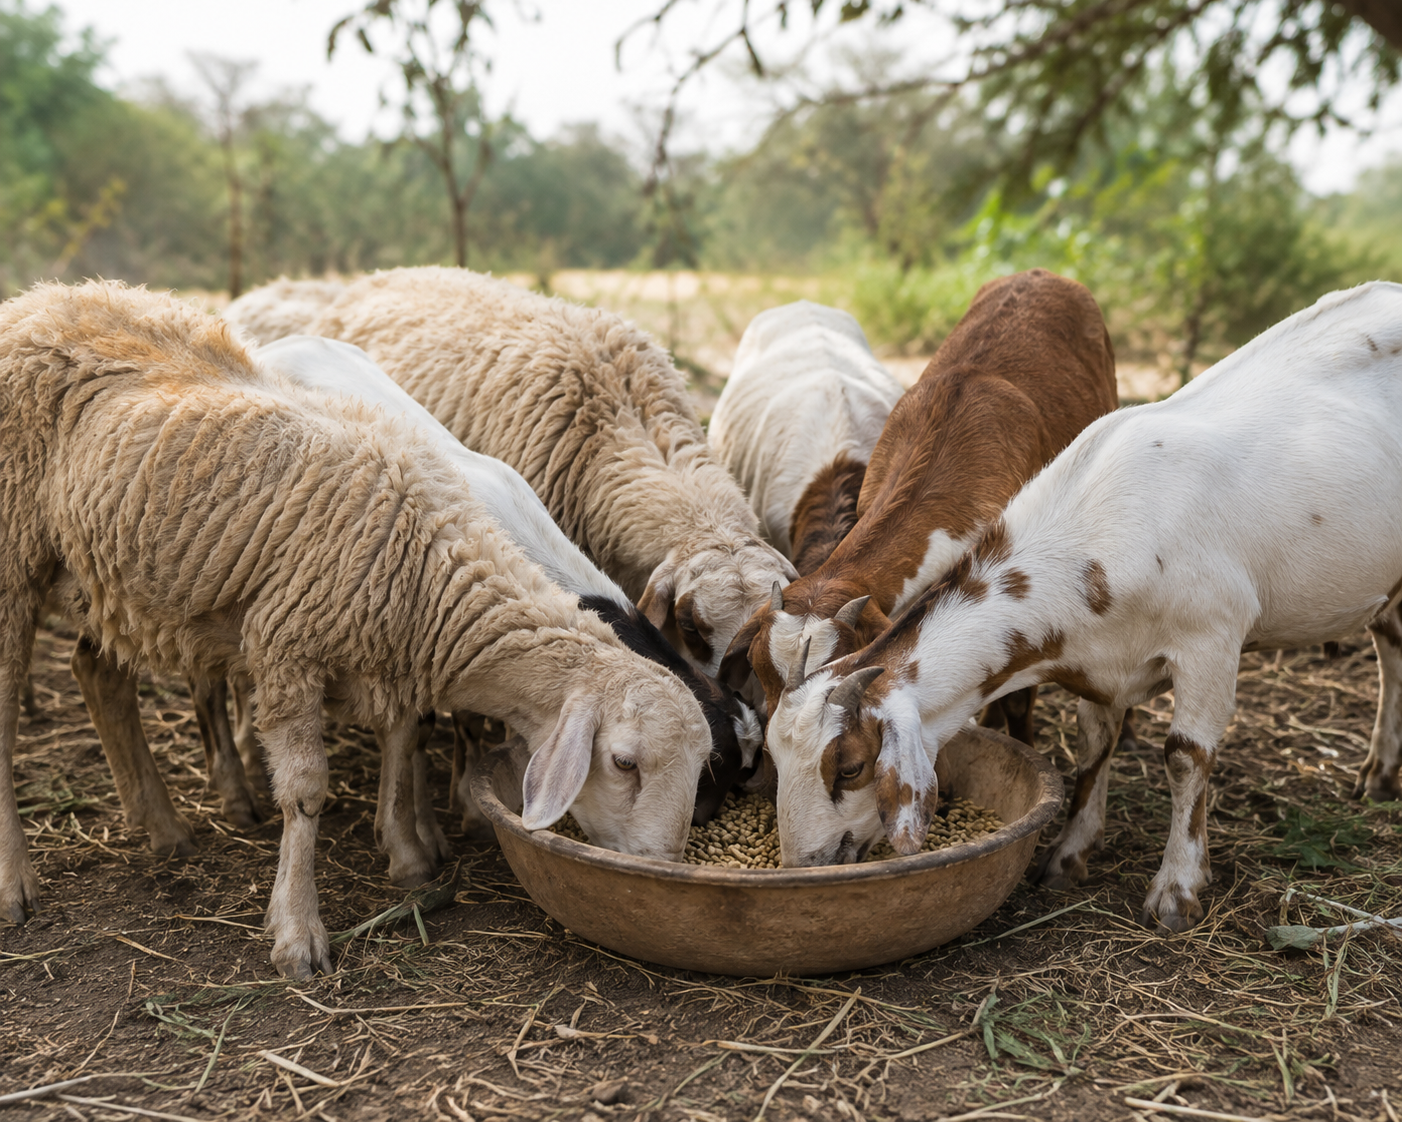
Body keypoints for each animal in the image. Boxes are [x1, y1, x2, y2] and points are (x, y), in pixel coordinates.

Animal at [0, 281, 713, 978]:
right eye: (624, 762)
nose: (662, 868)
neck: (430, 561)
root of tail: (36, 299)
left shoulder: (390, 655)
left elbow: (400, 743)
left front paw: (407, 856)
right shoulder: (286, 648)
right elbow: (306, 792)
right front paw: (297, 931)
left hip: (104, 576)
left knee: (99, 676)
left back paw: (164, 828)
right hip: (16, 562)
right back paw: (17, 886)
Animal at [762, 281, 1402, 934]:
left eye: (849, 768)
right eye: (773, 753)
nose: (804, 862)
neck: (1091, 536)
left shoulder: (1211, 640)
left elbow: (1186, 757)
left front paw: (1176, 889)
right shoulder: (1099, 657)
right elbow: (1095, 743)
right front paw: (1069, 856)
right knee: (1392, 642)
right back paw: (1378, 774)